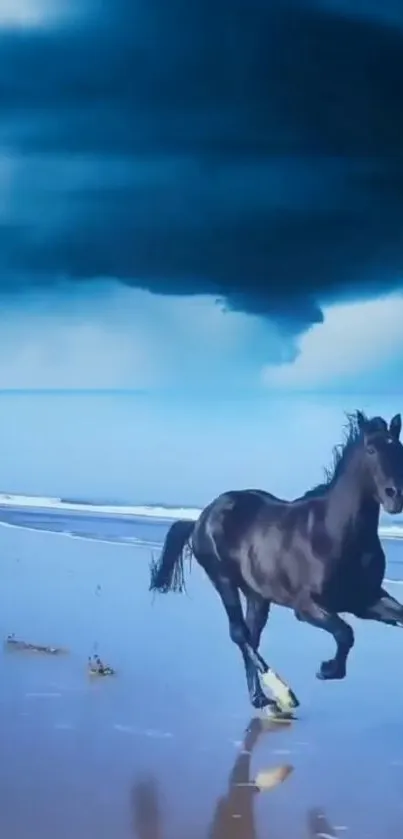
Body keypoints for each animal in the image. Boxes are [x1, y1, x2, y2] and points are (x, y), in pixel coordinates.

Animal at [149, 410, 403, 712]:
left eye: (399, 449)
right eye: (371, 449)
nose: (395, 495)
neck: (335, 532)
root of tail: (203, 515)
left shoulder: (364, 600)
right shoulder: (306, 606)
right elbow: (345, 633)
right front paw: (327, 669)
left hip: (257, 595)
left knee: (251, 635)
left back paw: (260, 697)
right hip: (223, 579)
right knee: (239, 633)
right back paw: (283, 693)